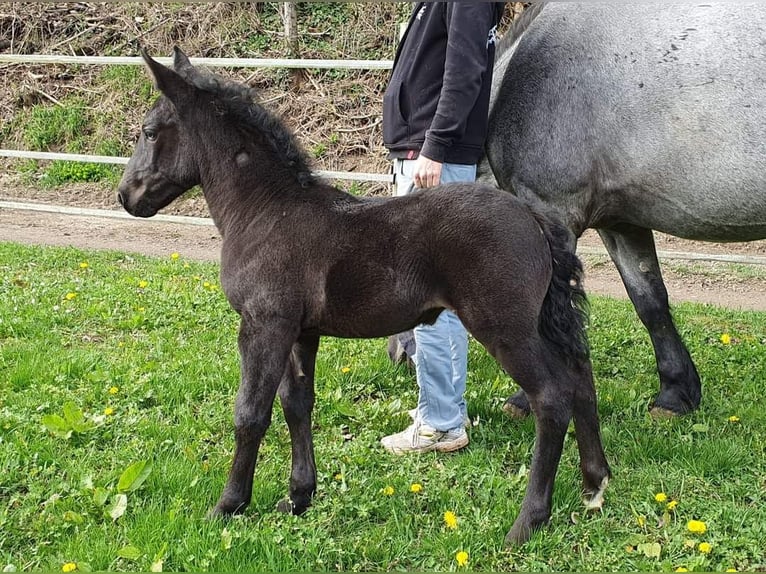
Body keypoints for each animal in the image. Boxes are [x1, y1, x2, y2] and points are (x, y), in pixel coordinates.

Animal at [117, 48, 612, 544]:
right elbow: (297, 404)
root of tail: (532, 216)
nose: (126, 195)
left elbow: (251, 412)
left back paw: (529, 520)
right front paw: (299, 496)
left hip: (504, 328)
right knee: (580, 376)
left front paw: (229, 505)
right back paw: (595, 483)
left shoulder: (263, 325)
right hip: (540, 323)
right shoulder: (300, 331)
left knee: (552, 396)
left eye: (148, 131)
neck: (266, 213)